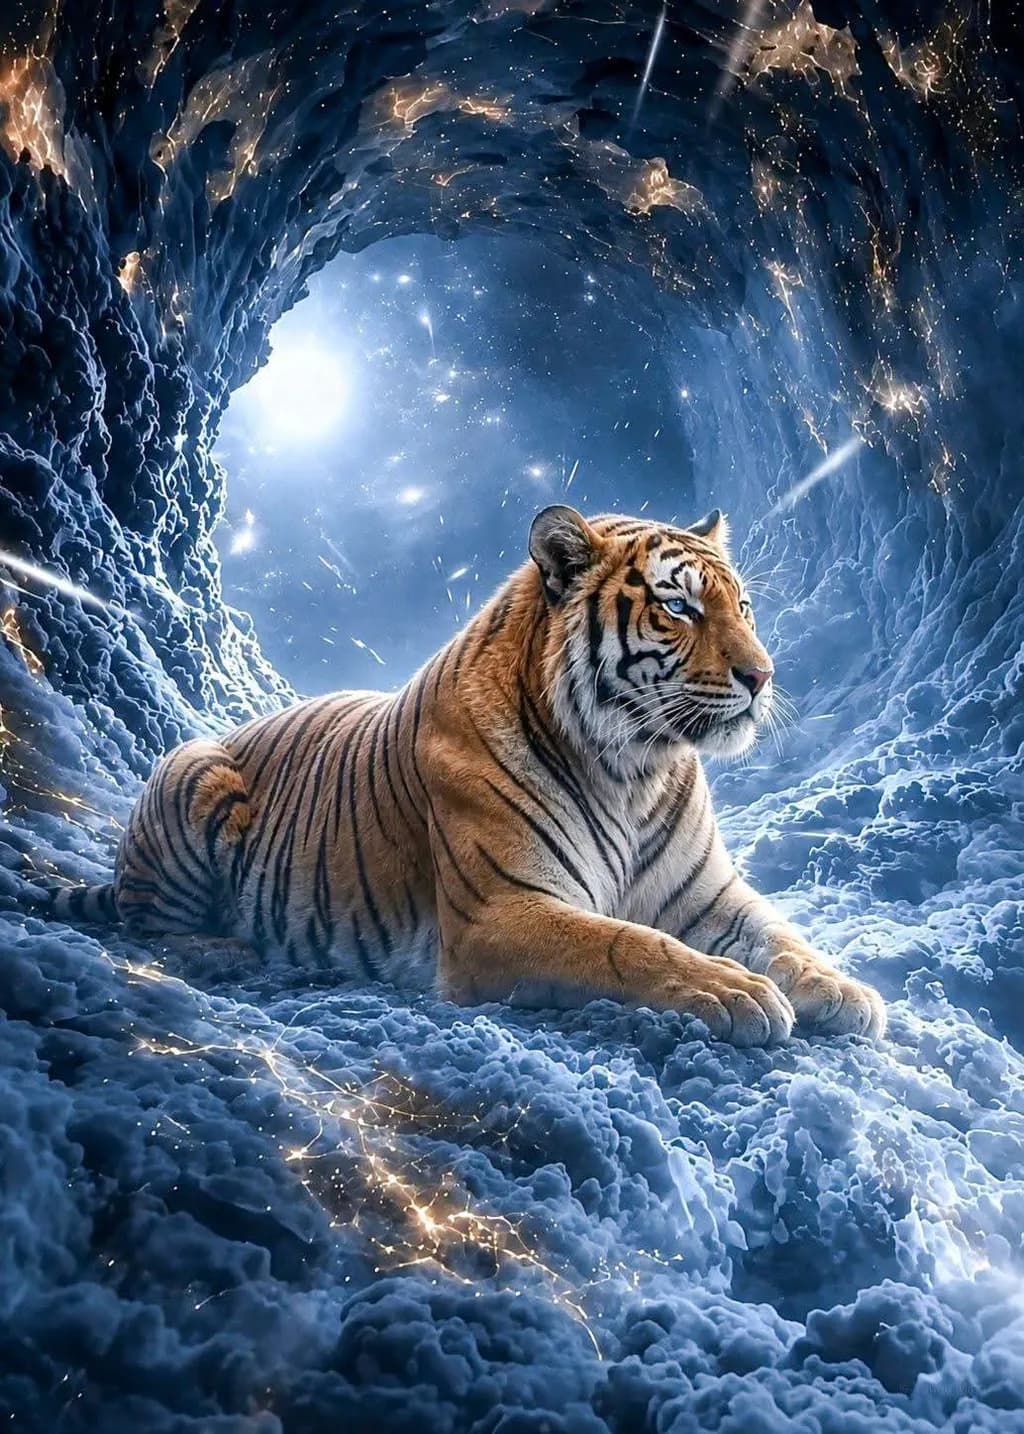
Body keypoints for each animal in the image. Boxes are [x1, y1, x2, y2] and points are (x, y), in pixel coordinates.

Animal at [48, 505, 886, 1046]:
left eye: (743, 606)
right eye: (678, 608)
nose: (763, 676)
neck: (636, 767)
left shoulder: (710, 896)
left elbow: (782, 934)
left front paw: (845, 990)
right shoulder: (501, 913)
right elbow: (627, 945)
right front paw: (732, 990)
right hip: (192, 766)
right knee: (147, 921)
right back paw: (227, 951)